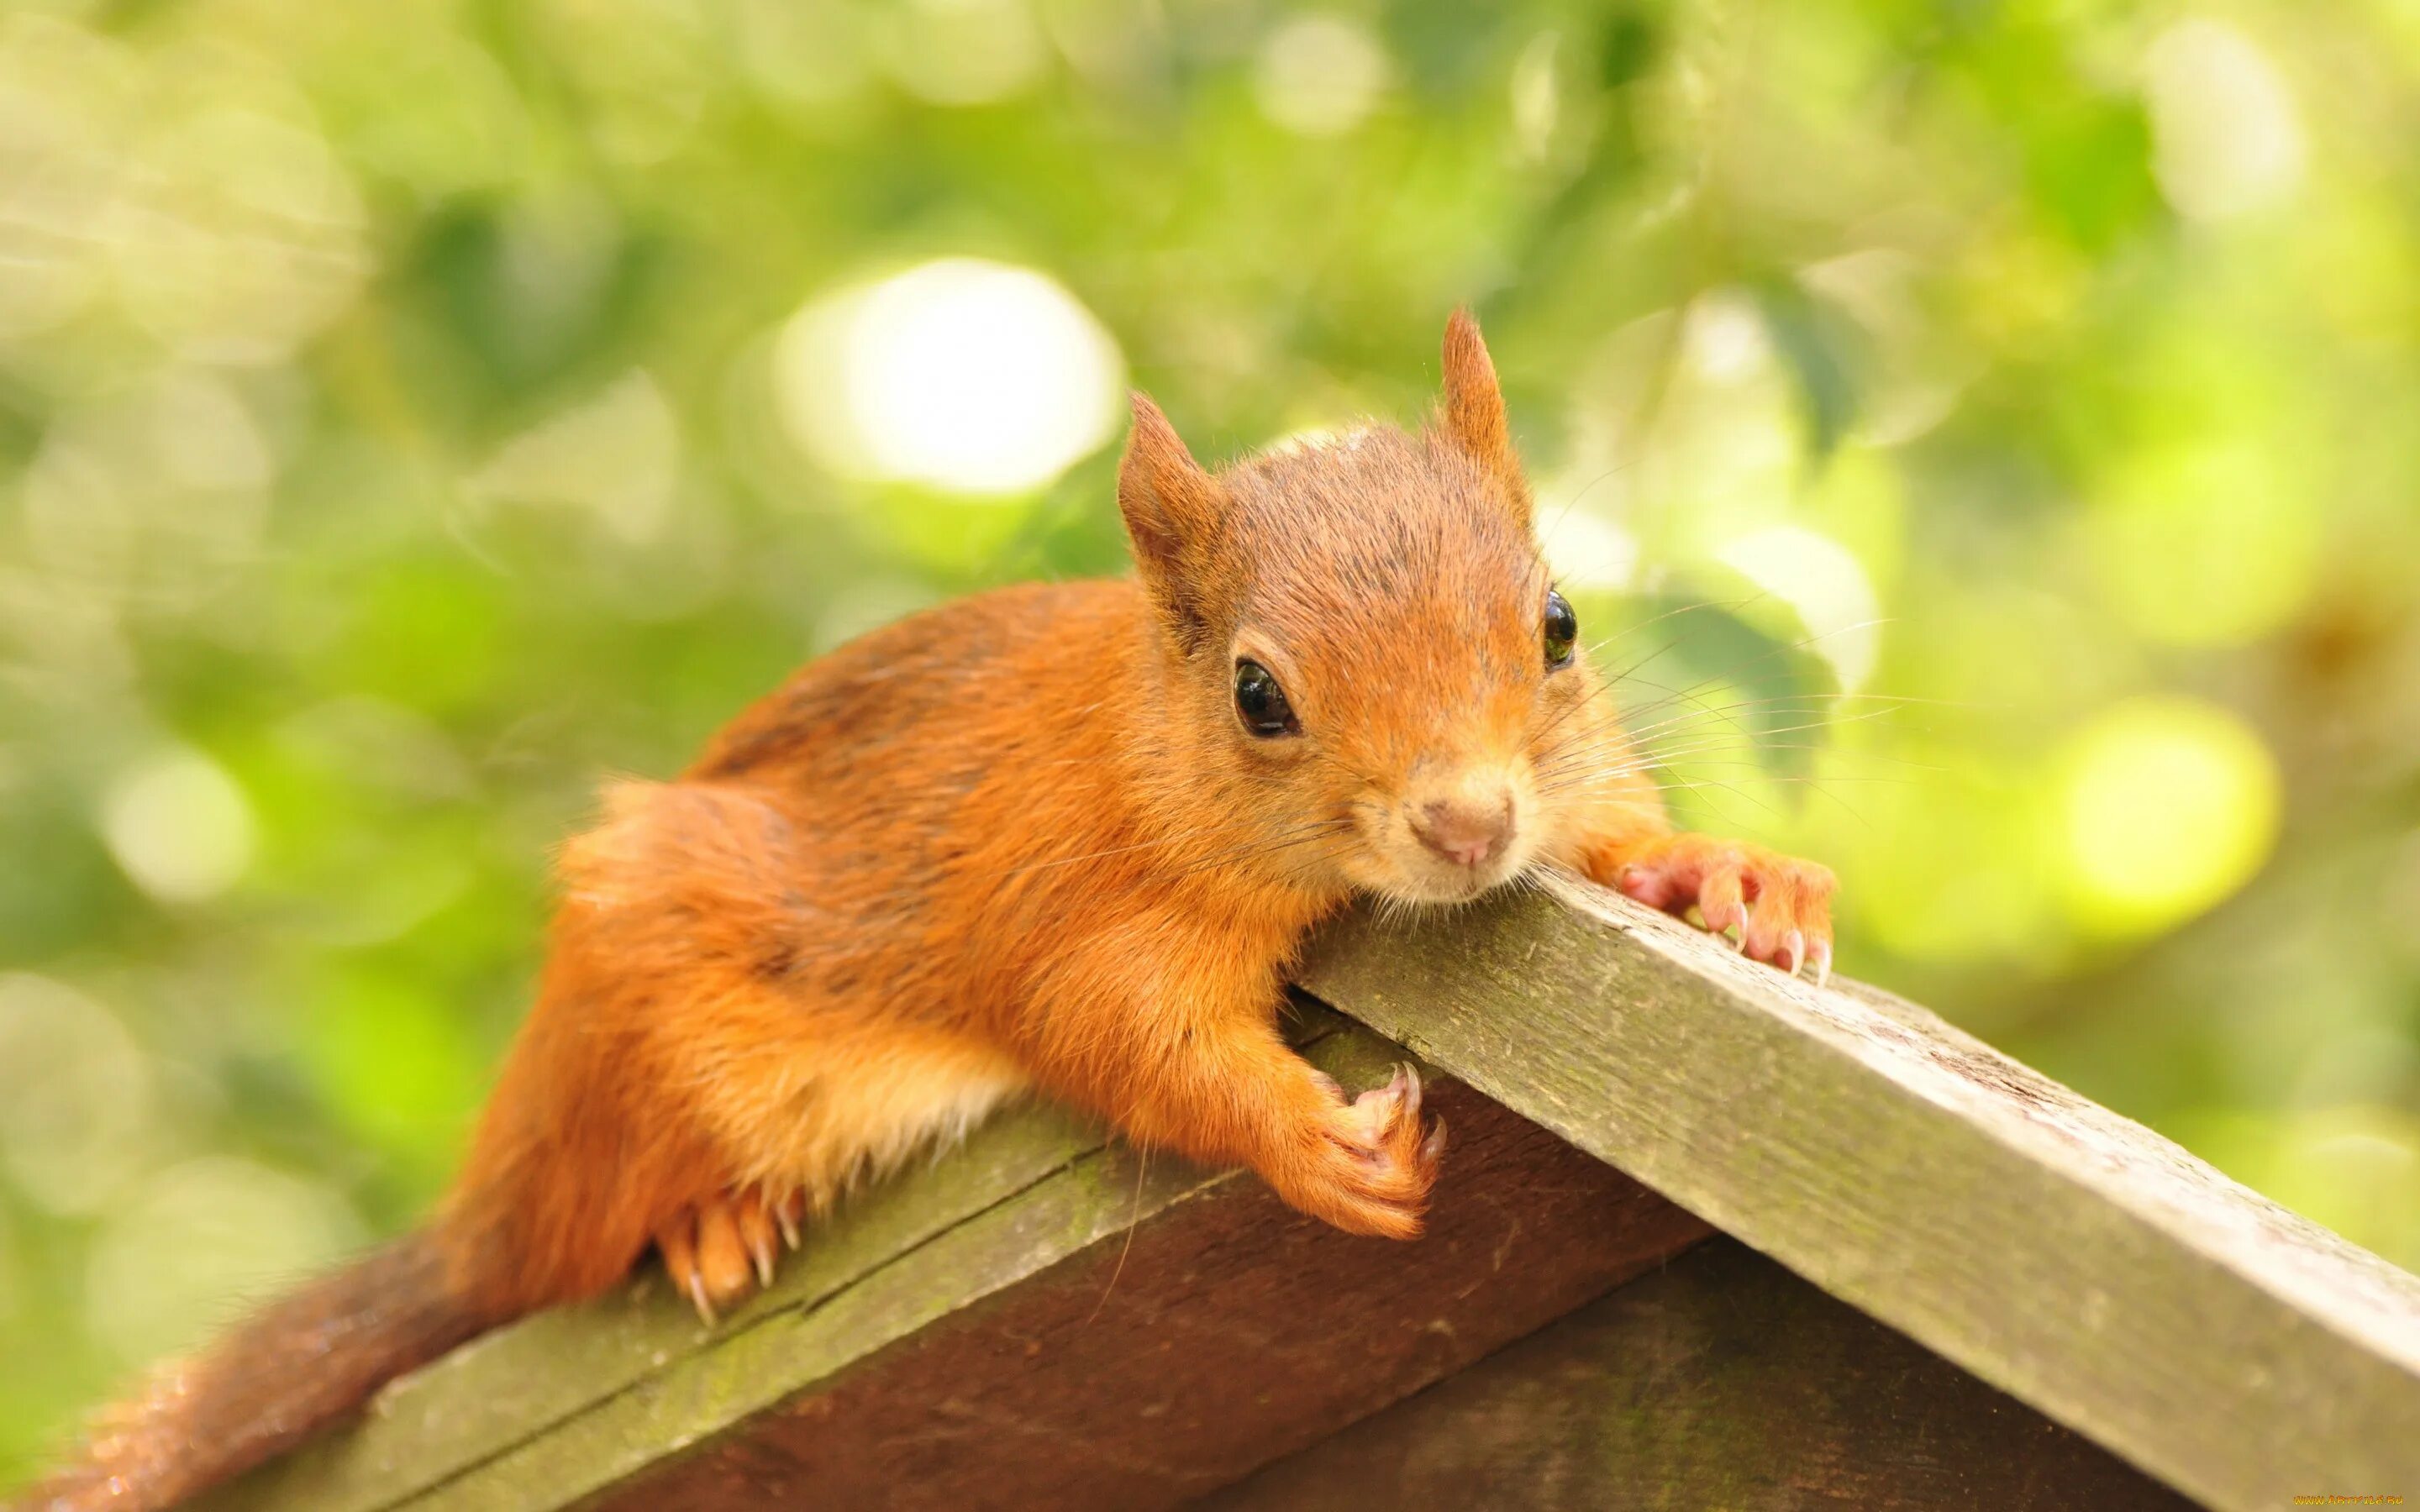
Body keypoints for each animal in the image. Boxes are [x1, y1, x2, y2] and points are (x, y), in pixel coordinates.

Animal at [24, 309, 1829, 1509]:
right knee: (572, 1248)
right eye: (1259, 696)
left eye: (1560, 623)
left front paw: (1735, 877)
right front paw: (1308, 1141)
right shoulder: (1078, 905)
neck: (1149, 746)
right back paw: (706, 1223)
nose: (1466, 823)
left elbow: (1620, 846)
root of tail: (493, 1197)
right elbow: (1124, 1039)